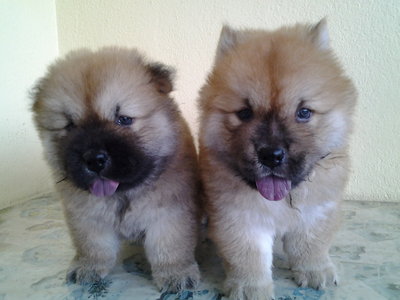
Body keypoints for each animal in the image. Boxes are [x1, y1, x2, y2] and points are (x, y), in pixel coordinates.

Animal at [30, 48, 200, 292]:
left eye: (124, 119)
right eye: (70, 126)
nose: (94, 159)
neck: (123, 194)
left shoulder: (169, 212)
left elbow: (169, 247)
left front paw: (176, 275)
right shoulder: (86, 216)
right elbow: (92, 246)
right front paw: (88, 267)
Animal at [198, 19, 358, 298]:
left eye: (303, 112)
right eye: (244, 113)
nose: (271, 155)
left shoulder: (316, 210)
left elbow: (311, 244)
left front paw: (315, 270)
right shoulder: (240, 219)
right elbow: (248, 258)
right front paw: (251, 288)